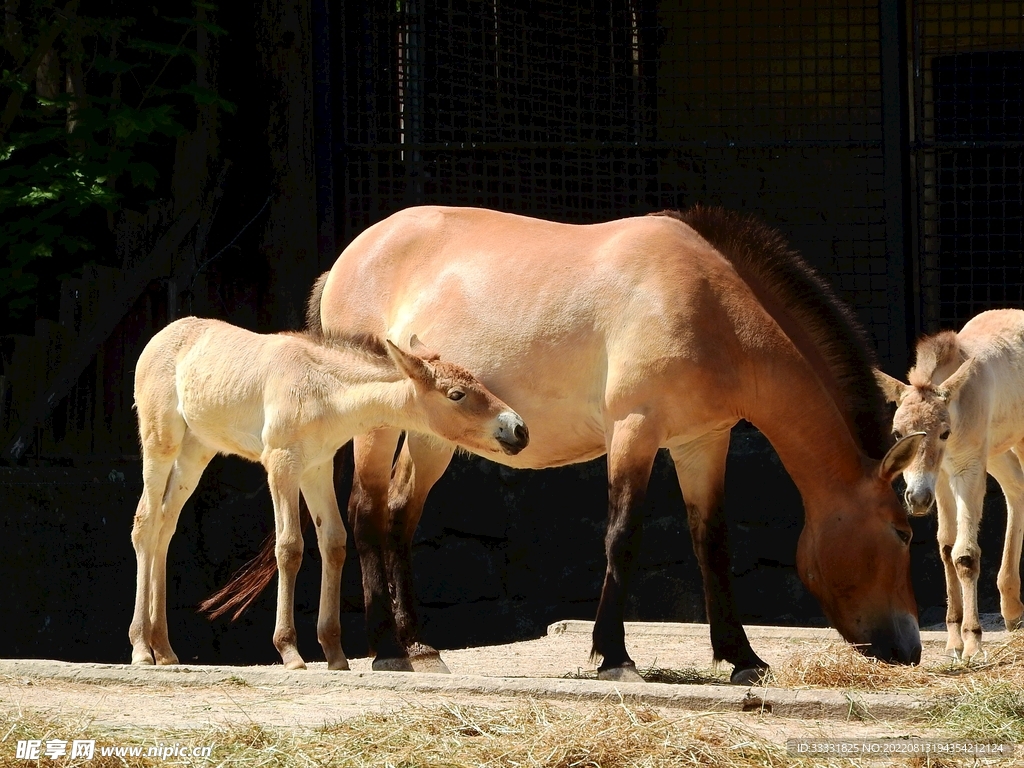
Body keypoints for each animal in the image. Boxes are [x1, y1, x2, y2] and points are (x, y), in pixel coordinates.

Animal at [128, 316, 528, 670]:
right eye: (456, 394)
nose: (518, 429)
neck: (322, 390)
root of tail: (161, 336)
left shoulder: (316, 468)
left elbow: (334, 543)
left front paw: (335, 654)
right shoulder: (281, 465)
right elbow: (289, 547)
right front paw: (289, 651)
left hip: (196, 452)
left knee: (165, 525)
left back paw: (164, 648)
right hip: (160, 443)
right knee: (145, 523)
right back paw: (141, 648)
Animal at [203, 205, 924, 684]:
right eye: (902, 531)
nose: (911, 647)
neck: (709, 305)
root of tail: (348, 258)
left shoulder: (702, 443)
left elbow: (711, 545)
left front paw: (742, 657)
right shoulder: (636, 431)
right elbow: (622, 537)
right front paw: (613, 655)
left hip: (435, 437)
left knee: (400, 515)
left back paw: (418, 646)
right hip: (380, 426)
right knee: (366, 512)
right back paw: (384, 648)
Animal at [875, 309, 1024, 659]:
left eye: (943, 432)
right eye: (898, 433)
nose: (916, 499)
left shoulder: (968, 471)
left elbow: (965, 555)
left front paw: (972, 642)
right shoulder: (941, 478)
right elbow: (946, 548)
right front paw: (954, 640)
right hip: (997, 451)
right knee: (1016, 490)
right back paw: (1012, 610)